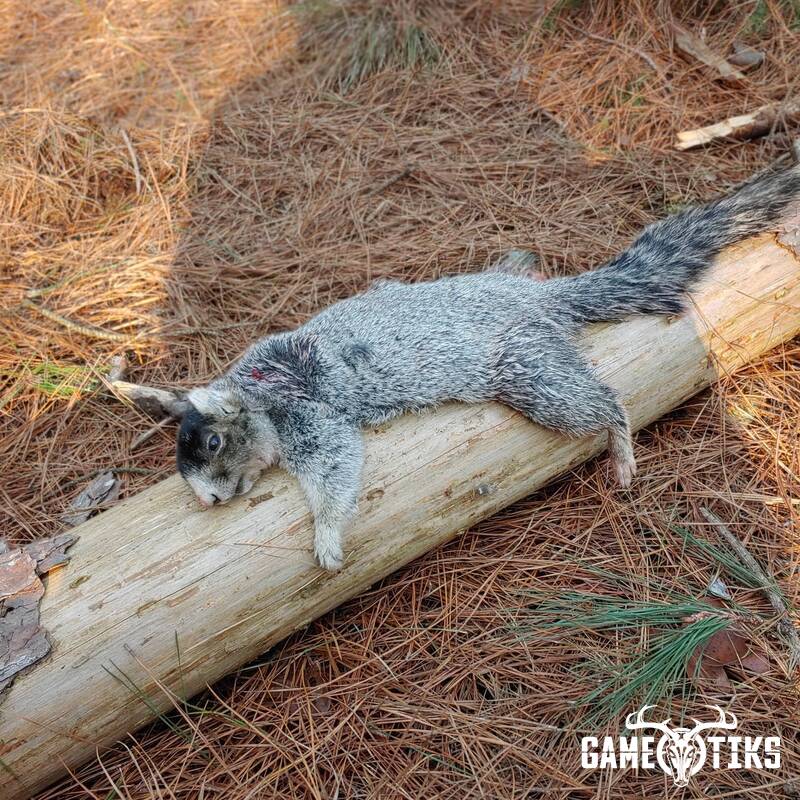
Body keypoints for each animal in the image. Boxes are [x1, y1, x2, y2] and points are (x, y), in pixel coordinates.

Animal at [177, 165, 800, 571]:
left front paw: (327, 539)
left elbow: (335, 465)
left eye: (212, 443)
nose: (205, 501)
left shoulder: (308, 413)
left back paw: (620, 447)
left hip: (530, 368)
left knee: (601, 400)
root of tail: (541, 299)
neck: (256, 387)